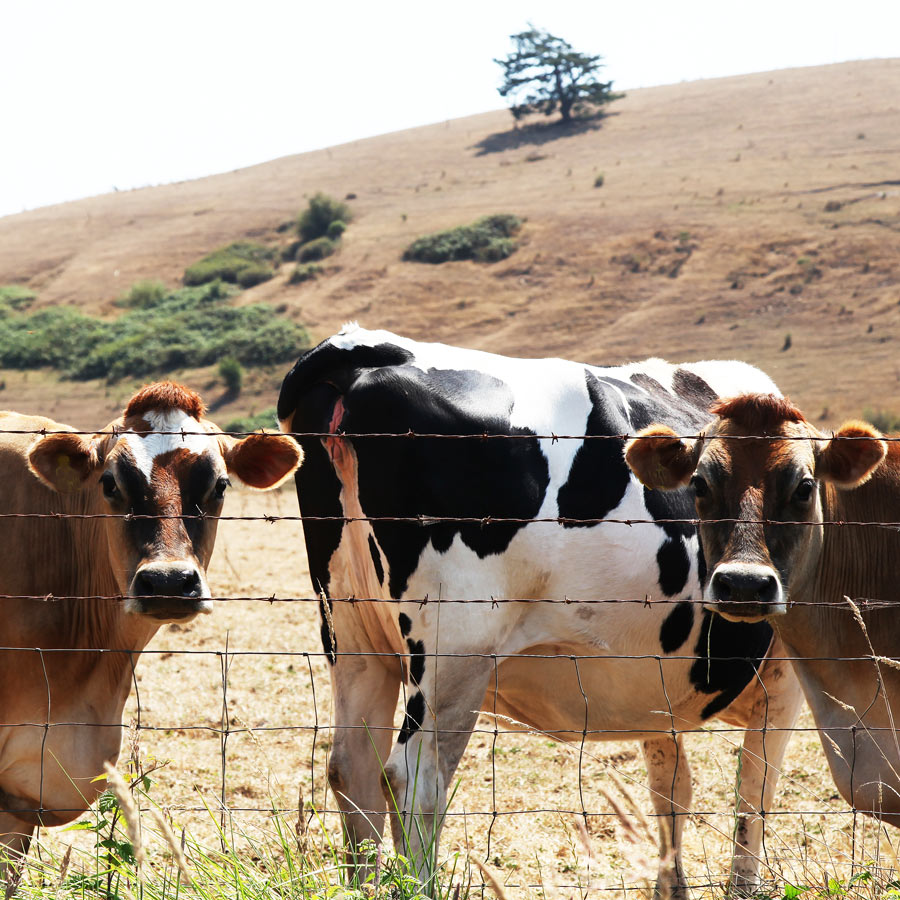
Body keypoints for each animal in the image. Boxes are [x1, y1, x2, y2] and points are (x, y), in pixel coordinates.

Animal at [278, 326, 804, 900]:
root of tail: (368, 347)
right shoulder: (785, 678)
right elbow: (754, 791)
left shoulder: (658, 683)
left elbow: (672, 788)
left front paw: (672, 885)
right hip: (455, 649)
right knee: (413, 778)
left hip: (354, 633)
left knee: (350, 769)